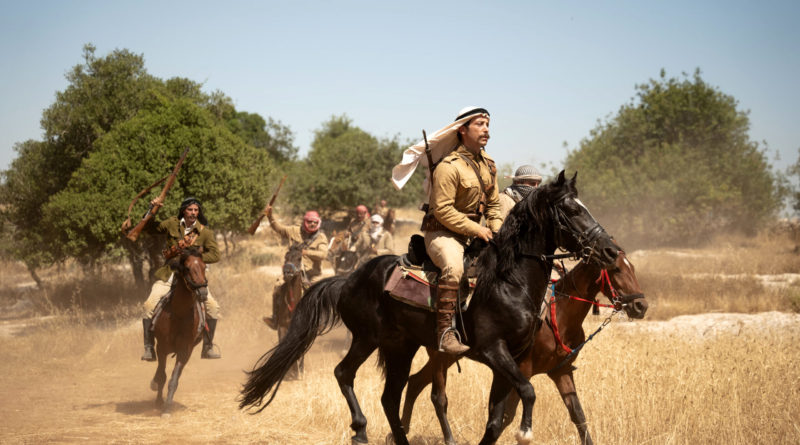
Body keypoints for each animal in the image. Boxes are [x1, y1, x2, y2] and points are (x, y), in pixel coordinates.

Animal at [150, 246, 208, 415]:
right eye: (187, 268)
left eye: (204, 267)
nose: (203, 293)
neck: (179, 313)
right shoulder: (161, 347)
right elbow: (162, 376)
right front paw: (159, 401)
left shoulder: (185, 350)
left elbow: (173, 379)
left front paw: (167, 407)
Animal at [239, 171, 620, 445]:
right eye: (573, 210)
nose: (611, 249)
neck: (509, 280)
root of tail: (347, 280)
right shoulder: (494, 351)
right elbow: (526, 392)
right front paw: (526, 431)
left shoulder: (510, 360)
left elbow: (495, 420)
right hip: (367, 339)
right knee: (345, 374)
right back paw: (360, 430)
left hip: (400, 348)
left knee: (390, 397)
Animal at [400, 249, 649, 445]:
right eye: (616, 269)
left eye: (632, 268)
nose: (641, 306)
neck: (559, 315)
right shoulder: (522, 370)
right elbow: (507, 417)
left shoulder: (561, 372)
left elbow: (578, 416)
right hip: (440, 355)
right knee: (438, 397)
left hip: (448, 357)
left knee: (415, 382)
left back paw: (400, 431)